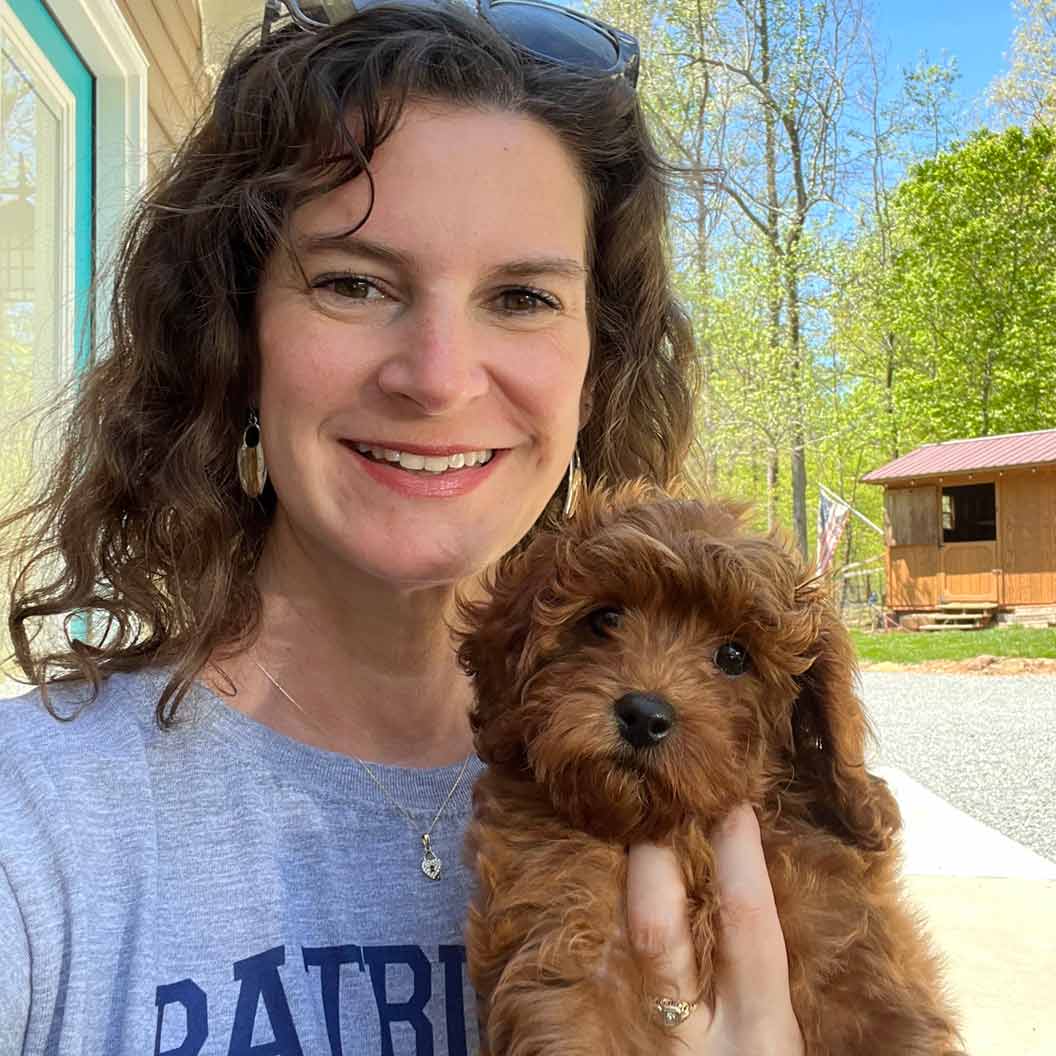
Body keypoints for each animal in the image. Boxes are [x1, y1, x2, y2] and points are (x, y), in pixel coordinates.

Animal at [456, 483, 967, 1056]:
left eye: (734, 656)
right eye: (605, 619)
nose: (643, 715)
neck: (681, 833)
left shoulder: (848, 940)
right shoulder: (572, 937)